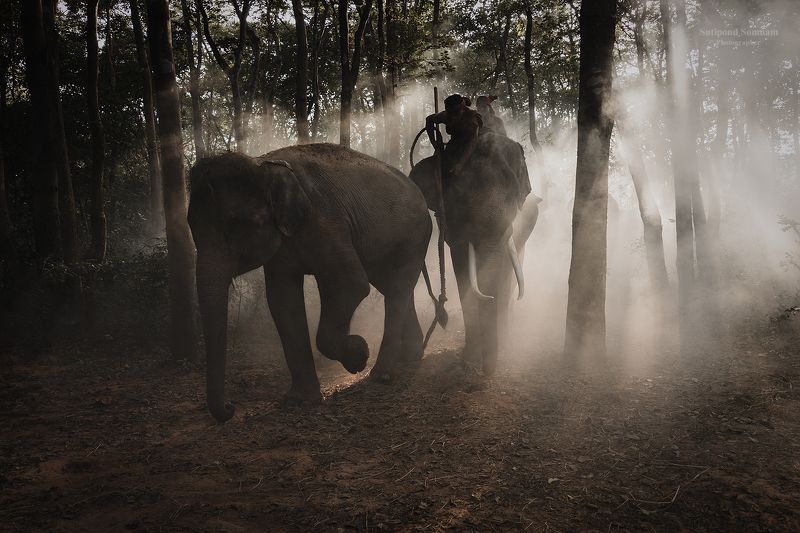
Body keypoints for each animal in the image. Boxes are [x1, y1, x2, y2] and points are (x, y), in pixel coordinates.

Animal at [188, 144, 432, 422]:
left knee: (397, 288)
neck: (263, 164)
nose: (230, 406)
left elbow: (350, 284)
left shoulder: (326, 221)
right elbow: (282, 300)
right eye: (191, 226)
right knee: (393, 287)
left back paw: (381, 375)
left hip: (415, 236)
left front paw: (358, 353)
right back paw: (410, 357)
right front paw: (300, 401)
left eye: (236, 227)